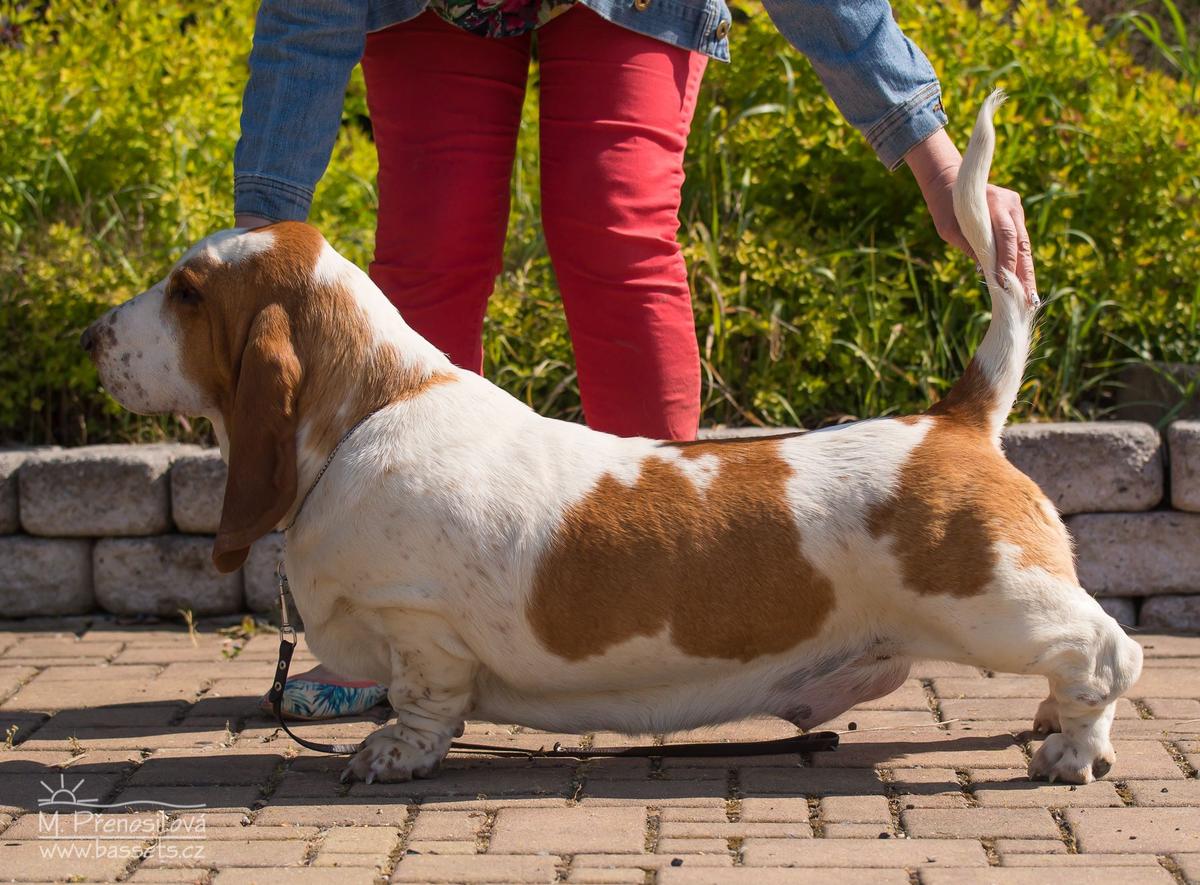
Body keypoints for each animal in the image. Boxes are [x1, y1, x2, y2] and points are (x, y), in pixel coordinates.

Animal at [87, 96, 1142, 781]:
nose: (90, 335)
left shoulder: (419, 627)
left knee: (1108, 652)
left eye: (187, 292)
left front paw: (390, 754)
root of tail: (952, 418)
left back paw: (1070, 749)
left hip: (993, 605)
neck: (370, 412)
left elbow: (422, 699)